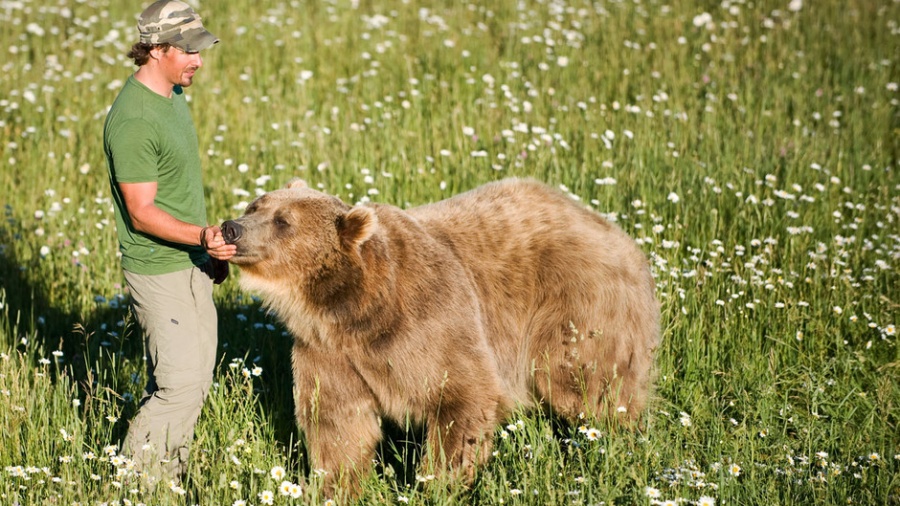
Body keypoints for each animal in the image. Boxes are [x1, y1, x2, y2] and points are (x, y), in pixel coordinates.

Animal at [221, 178, 660, 498]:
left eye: (283, 221)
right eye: (255, 205)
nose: (231, 228)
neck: (351, 310)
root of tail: (613, 229)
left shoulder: (427, 321)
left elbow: (461, 397)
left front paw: (436, 483)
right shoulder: (328, 353)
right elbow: (337, 424)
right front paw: (334, 487)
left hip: (576, 306)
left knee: (587, 383)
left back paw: (621, 439)